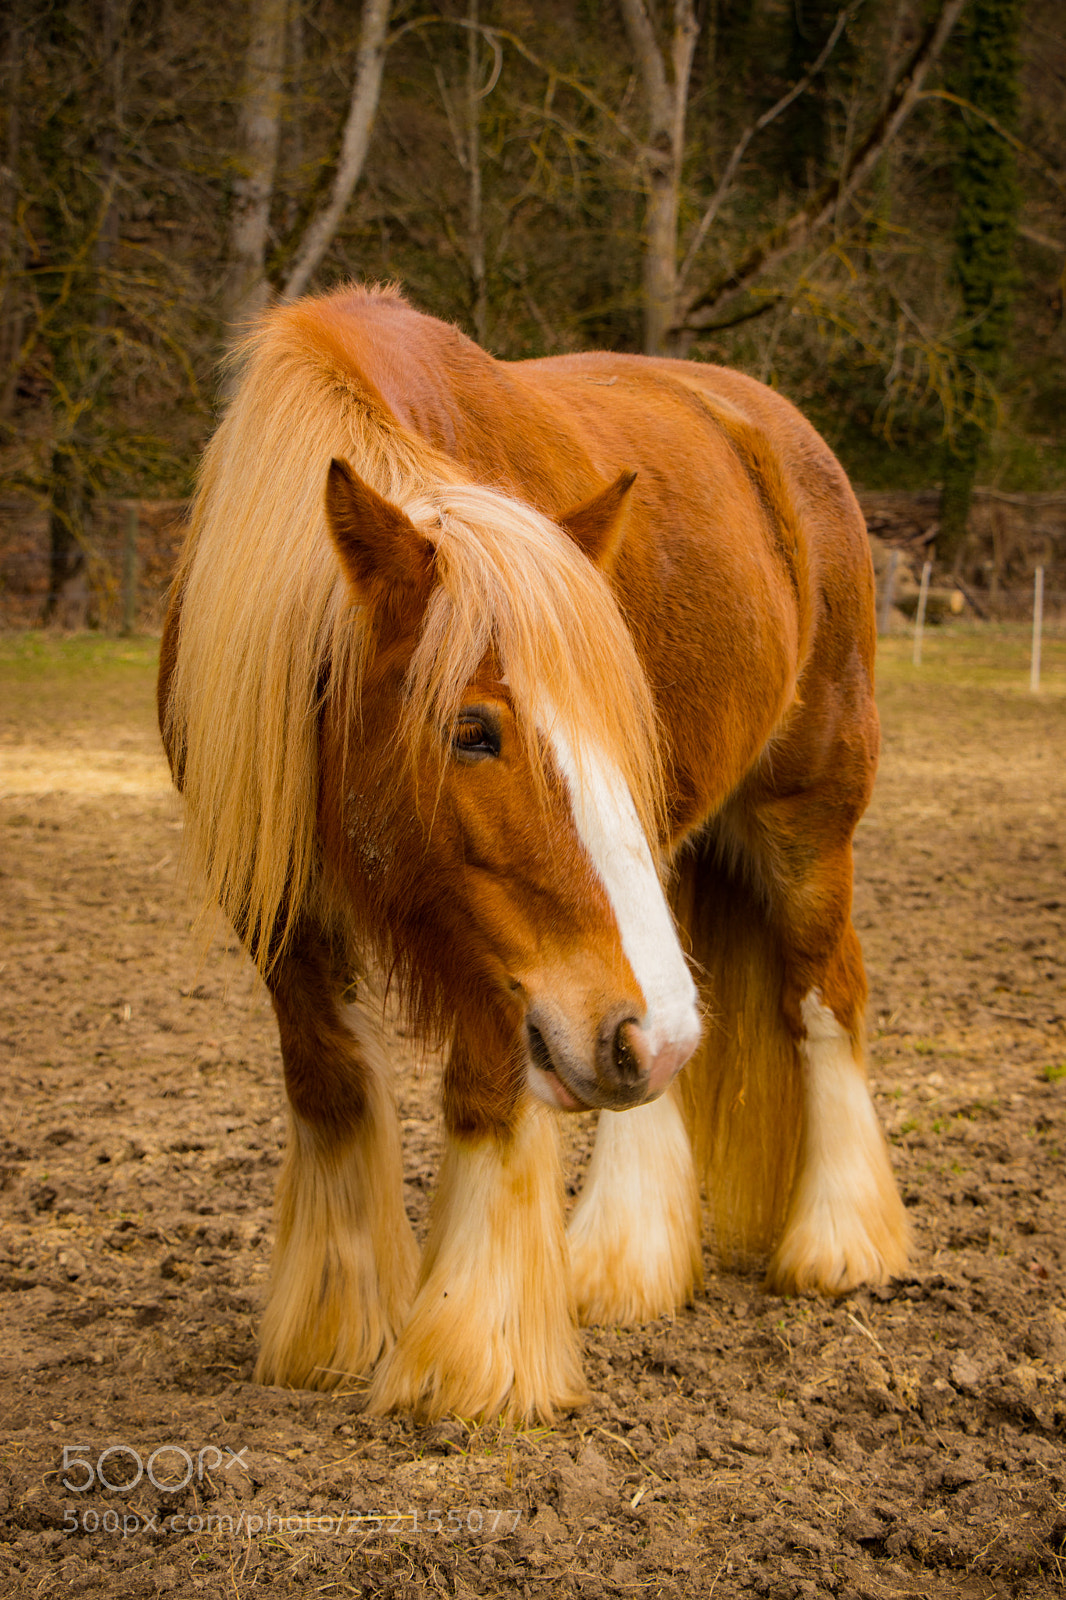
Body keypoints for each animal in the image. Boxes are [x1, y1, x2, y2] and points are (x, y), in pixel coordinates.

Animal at [158, 283, 909, 1423]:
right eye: (473, 730)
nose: (640, 1036)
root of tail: (775, 427)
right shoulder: (279, 910)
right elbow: (329, 1085)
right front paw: (334, 1329)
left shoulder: (492, 948)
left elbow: (483, 1095)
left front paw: (473, 1353)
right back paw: (625, 1259)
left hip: (805, 821)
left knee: (819, 994)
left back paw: (839, 1242)